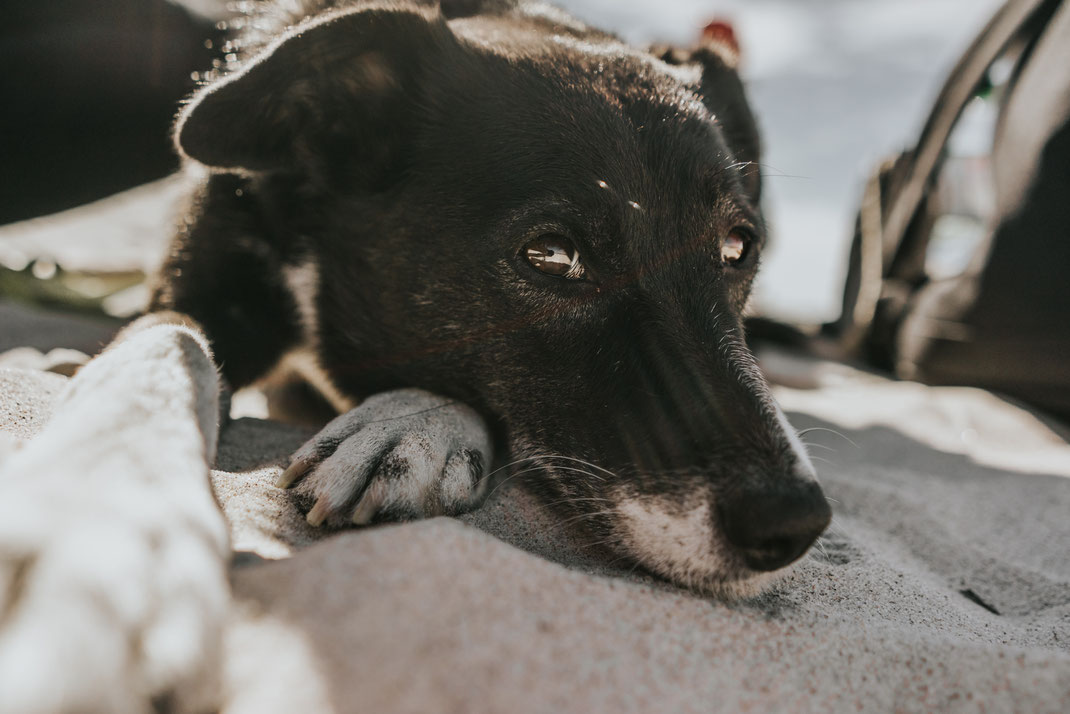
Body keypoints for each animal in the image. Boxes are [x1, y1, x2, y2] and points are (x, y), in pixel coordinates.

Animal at [153, 0, 834, 599]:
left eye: (738, 246)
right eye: (551, 254)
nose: (791, 523)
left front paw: (410, 423)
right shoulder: (196, 290)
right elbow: (173, 350)